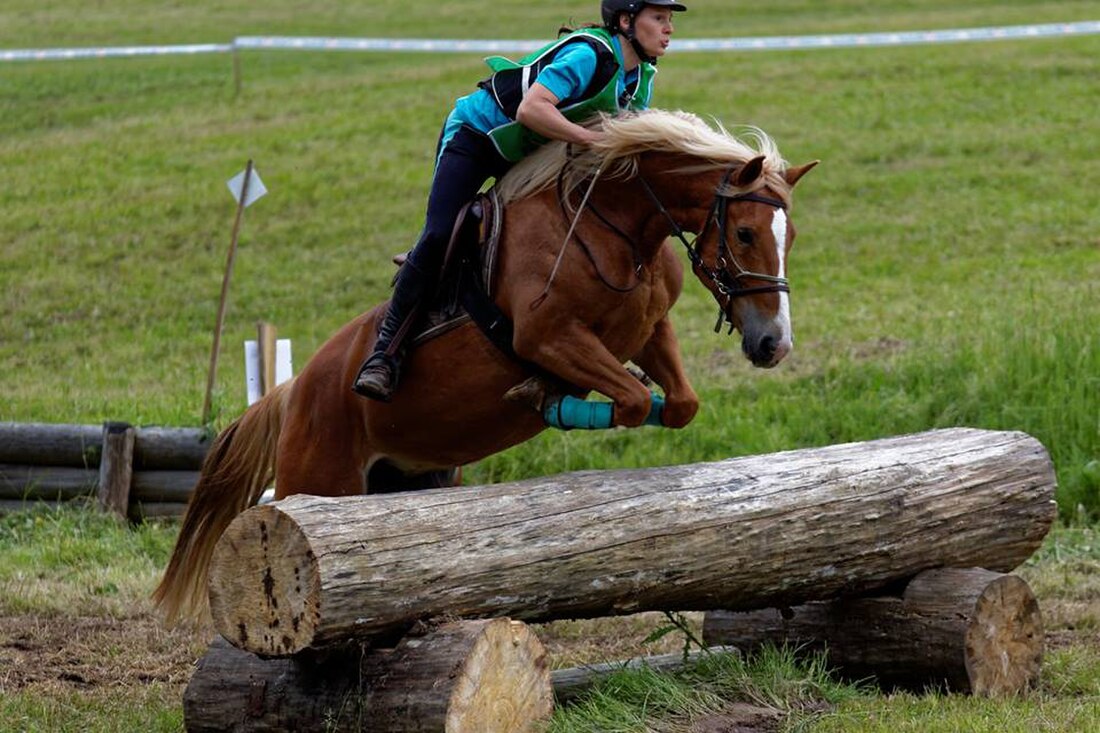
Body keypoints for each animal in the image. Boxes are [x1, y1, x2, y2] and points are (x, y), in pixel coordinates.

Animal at [150, 108, 814, 620]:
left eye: (791, 236)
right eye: (747, 233)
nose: (772, 344)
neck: (619, 226)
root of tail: (292, 391)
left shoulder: (647, 331)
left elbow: (676, 405)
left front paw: (589, 399)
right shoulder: (548, 336)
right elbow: (624, 398)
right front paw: (548, 400)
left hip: (408, 478)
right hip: (320, 478)